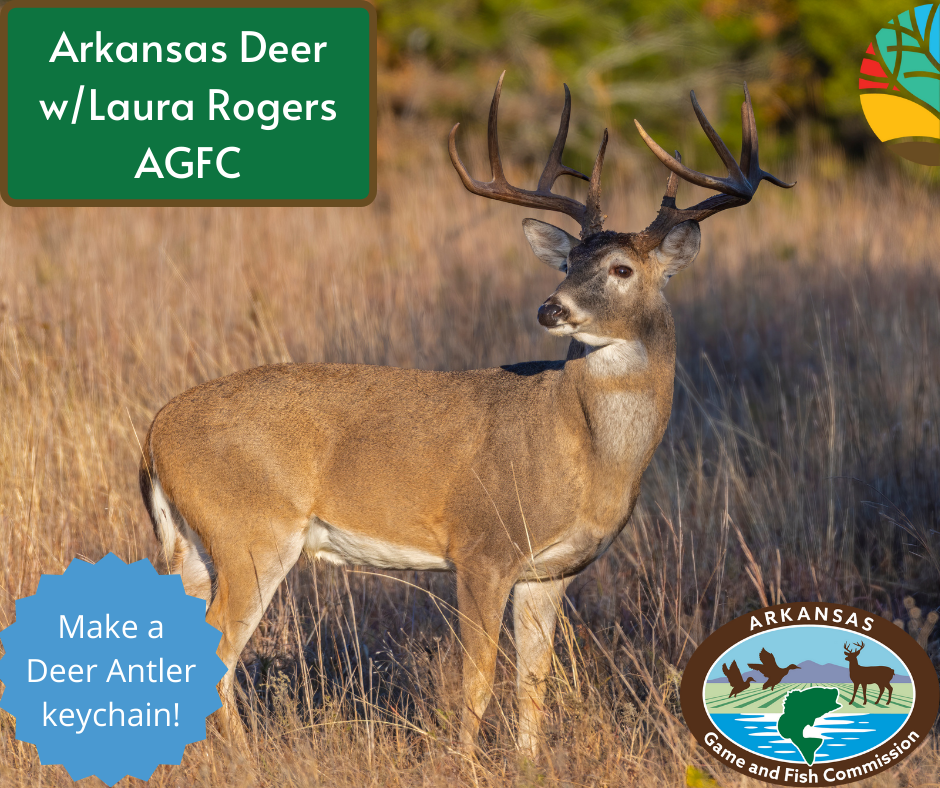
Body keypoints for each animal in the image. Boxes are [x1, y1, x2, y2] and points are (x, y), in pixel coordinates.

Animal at [139, 72, 793, 756]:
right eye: (568, 263)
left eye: (621, 268)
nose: (551, 308)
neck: (583, 450)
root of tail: (154, 434)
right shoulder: (482, 546)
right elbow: (477, 680)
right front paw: (465, 763)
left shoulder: (548, 572)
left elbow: (533, 680)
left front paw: (529, 763)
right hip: (251, 529)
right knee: (217, 649)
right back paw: (245, 760)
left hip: (195, 543)